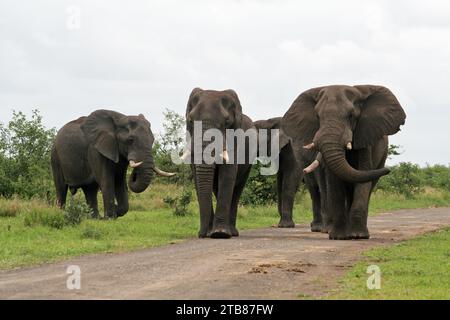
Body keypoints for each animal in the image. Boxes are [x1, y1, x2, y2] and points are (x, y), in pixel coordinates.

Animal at [181, 87, 255, 238]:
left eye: (226, 122)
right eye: (190, 120)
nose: (202, 234)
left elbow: (227, 176)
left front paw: (220, 234)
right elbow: (198, 178)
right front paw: (209, 233)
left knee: (237, 190)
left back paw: (232, 232)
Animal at [282, 85, 404, 240]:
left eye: (351, 115)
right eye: (318, 117)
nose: (389, 170)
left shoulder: (364, 137)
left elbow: (363, 175)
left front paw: (358, 236)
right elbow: (334, 181)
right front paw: (338, 237)